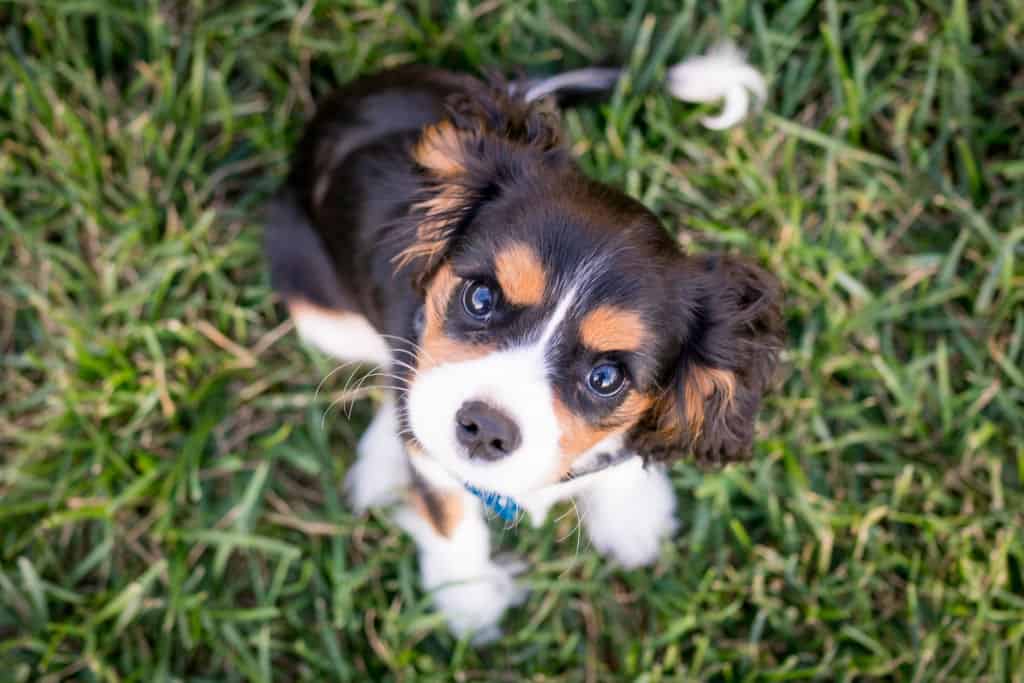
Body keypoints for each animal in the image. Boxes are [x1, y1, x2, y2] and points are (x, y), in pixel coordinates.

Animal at [266, 52, 782, 643]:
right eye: (481, 298)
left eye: (606, 378)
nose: (485, 428)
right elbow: (448, 512)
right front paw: (468, 602)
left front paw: (632, 516)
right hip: (318, 307)